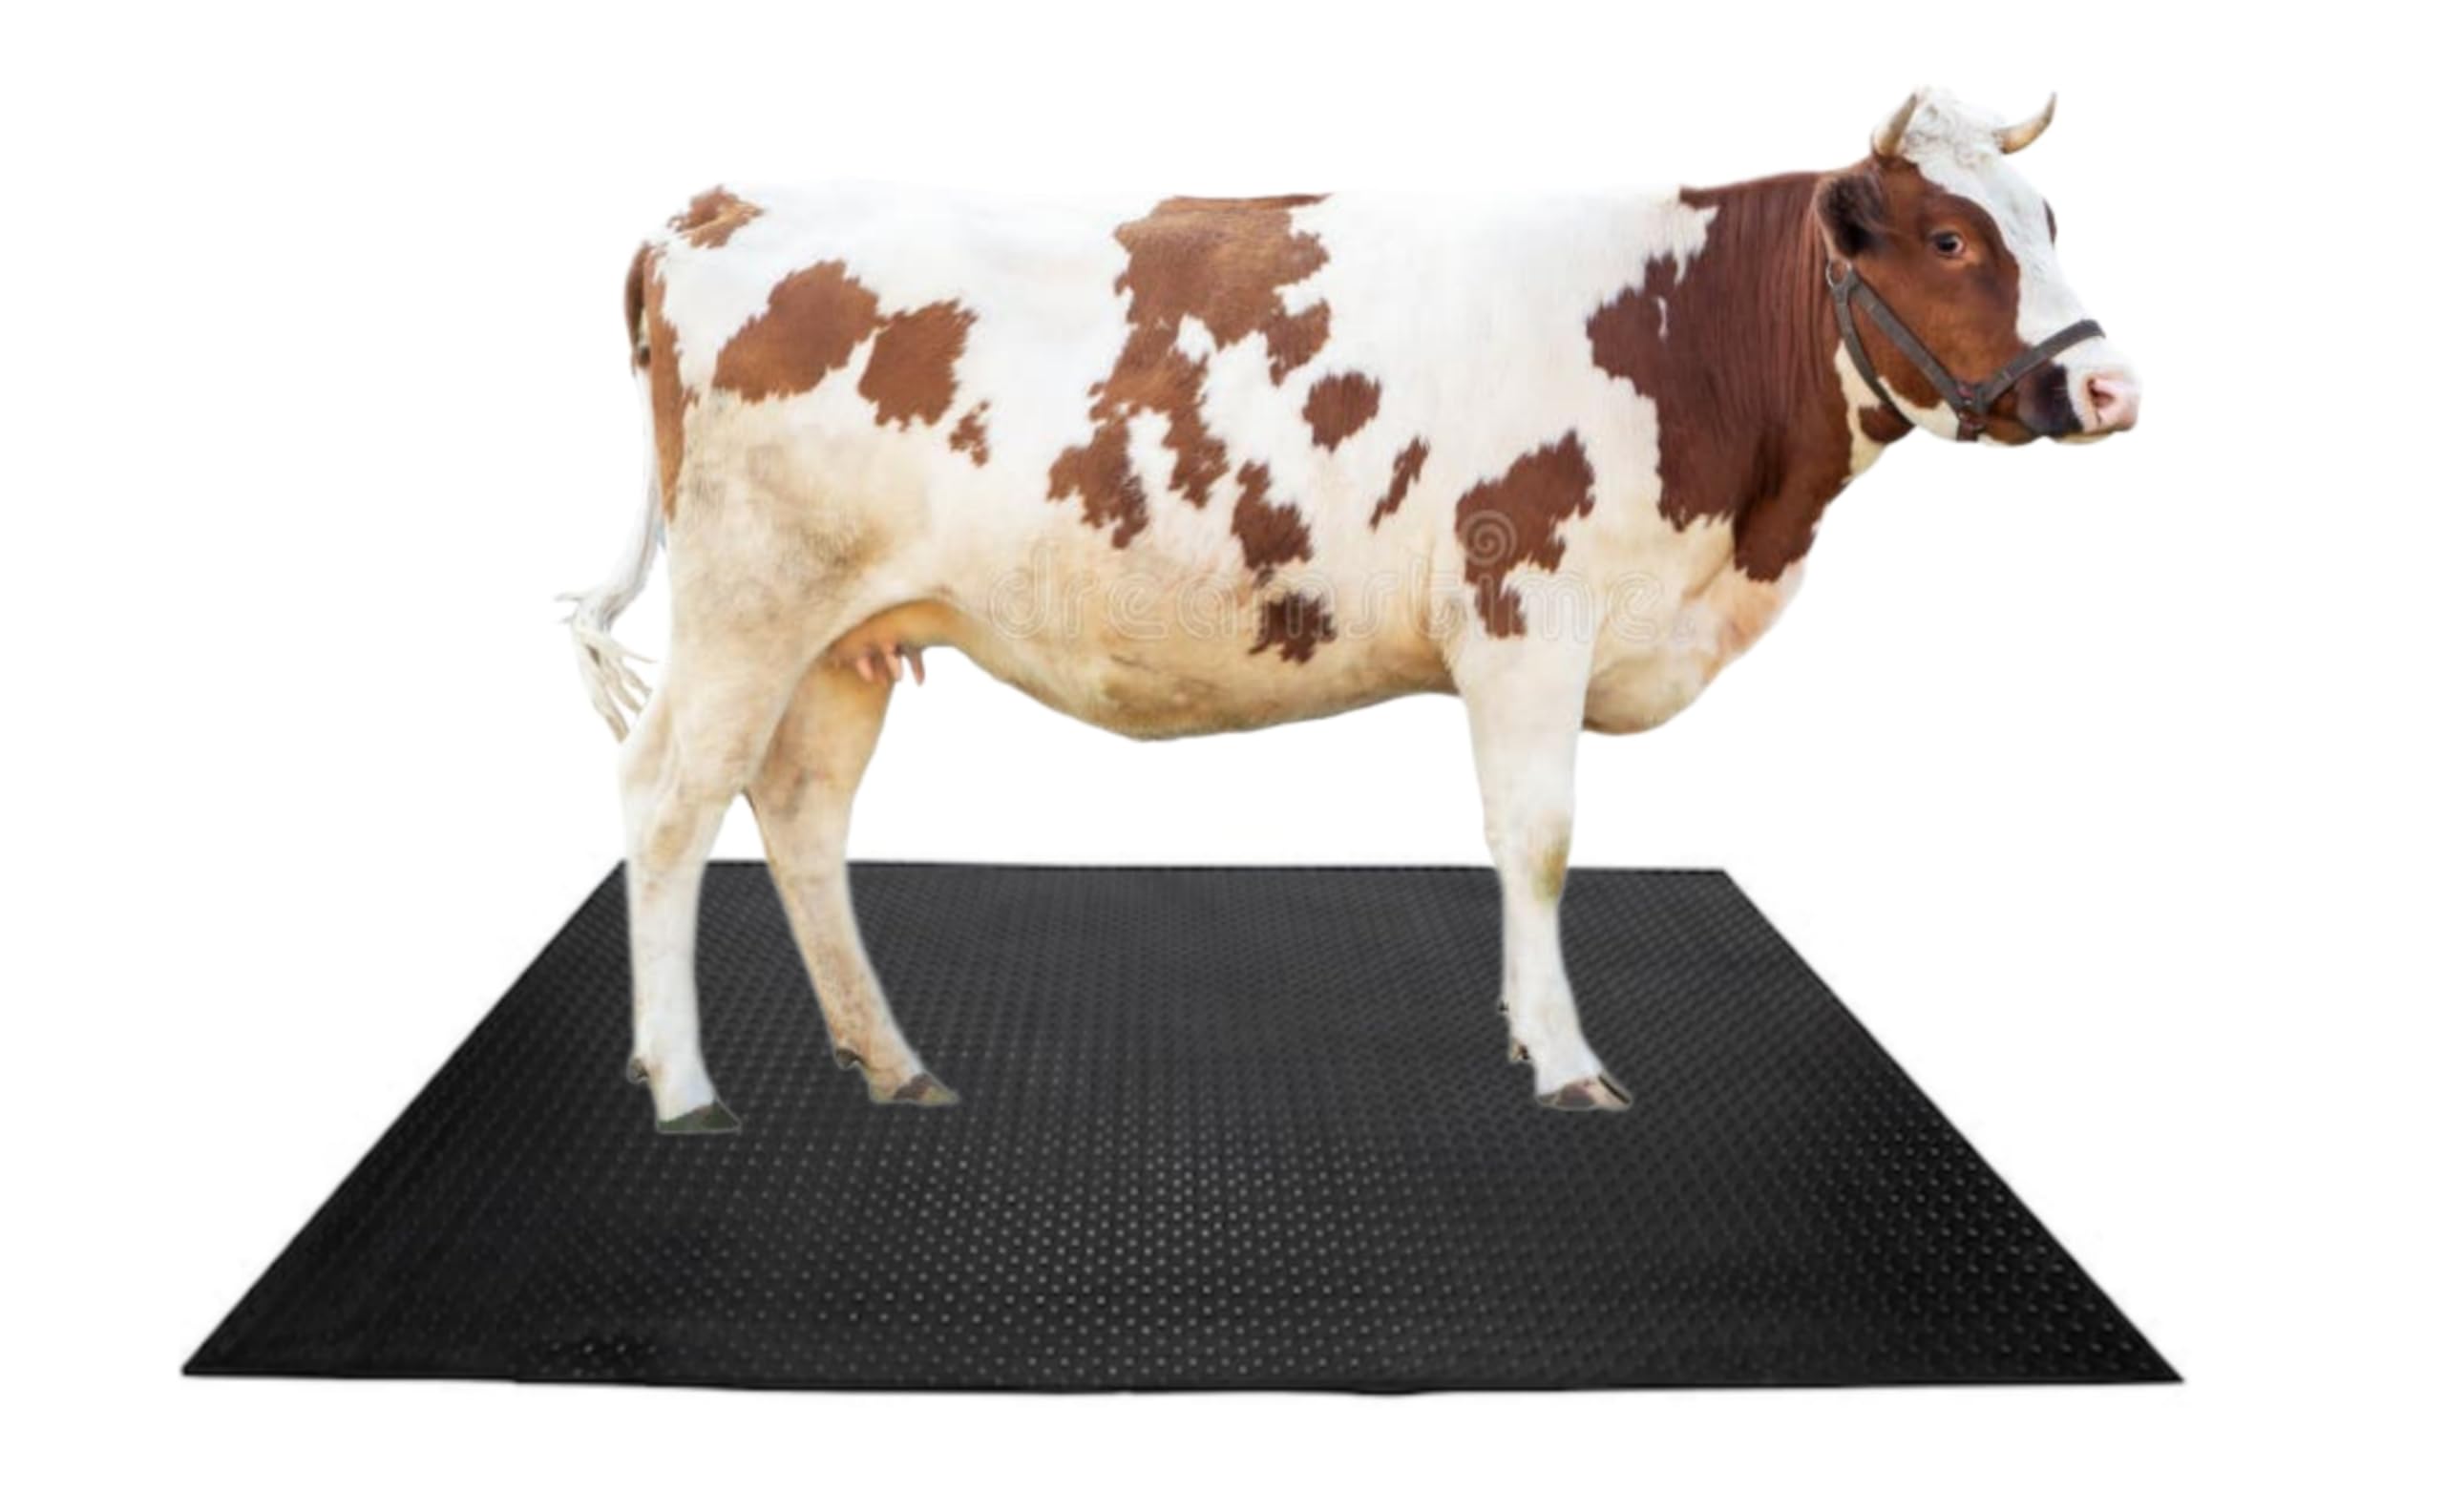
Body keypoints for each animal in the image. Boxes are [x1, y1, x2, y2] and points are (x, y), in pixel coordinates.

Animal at [563, 88, 2141, 1133]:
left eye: (2048, 219)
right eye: (1948, 239)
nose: (2111, 385)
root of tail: (712, 208)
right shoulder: (1527, 616)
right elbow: (1540, 845)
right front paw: (1564, 1062)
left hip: (848, 634)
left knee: (799, 807)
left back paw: (890, 1063)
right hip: (749, 596)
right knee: (667, 797)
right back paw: (683, 1085)